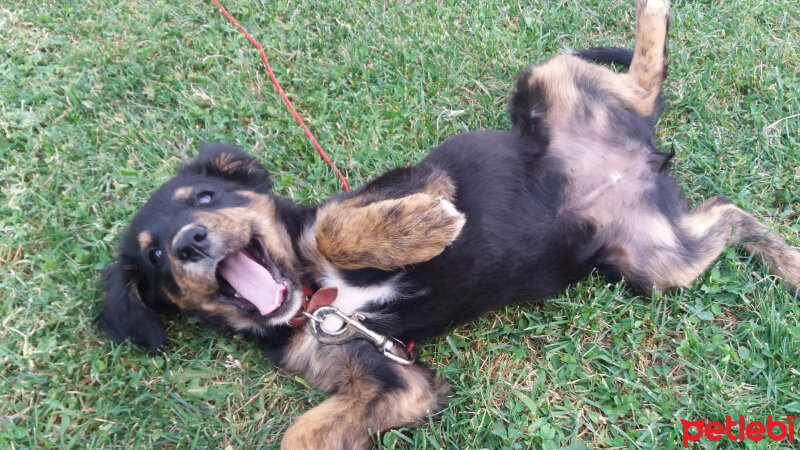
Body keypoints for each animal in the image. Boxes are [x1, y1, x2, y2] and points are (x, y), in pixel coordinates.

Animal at [98, 1, 800, 448]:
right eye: (154, 257)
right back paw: (789, 262)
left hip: (550, 80)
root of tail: (640, 156)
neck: (315, 298)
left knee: (646, 82)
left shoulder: (418, 182)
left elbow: (334, 225)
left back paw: (654, 11)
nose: (189, 242)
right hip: (658, 262)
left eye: (206, 196)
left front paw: (423, 232)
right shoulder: (398, 383)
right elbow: (303, 433)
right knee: (728, 212)